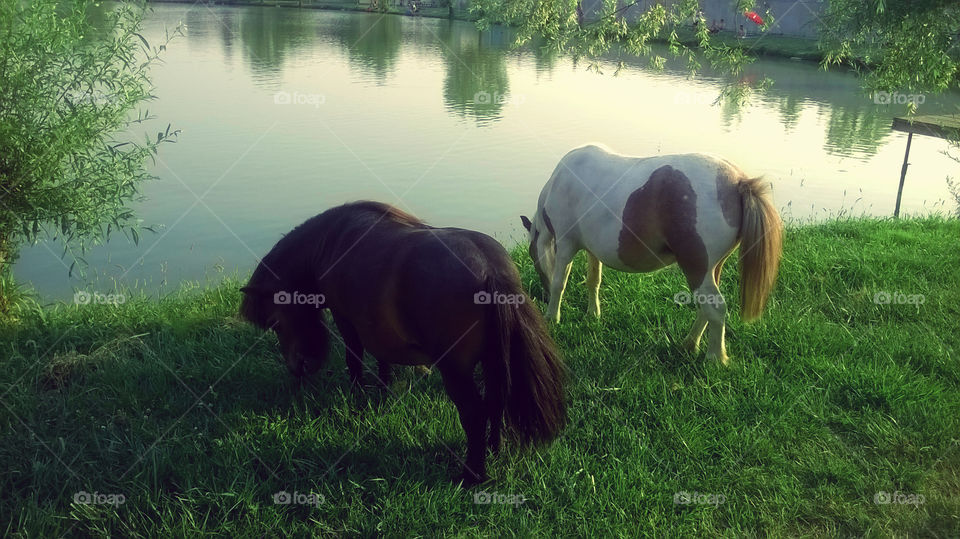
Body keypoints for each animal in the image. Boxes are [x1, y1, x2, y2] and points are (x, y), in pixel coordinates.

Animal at [240, 201, 567, 485]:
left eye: (274, 323)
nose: (299, 367)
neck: (329, 242)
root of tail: (489, 270)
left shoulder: (346, 320)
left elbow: (354, 358)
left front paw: (357, 395)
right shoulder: (375, 327)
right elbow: (382, 357)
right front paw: (383, 390)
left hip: (456, 371)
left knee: (475, 414)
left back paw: (471, 476)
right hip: (494, 359)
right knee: (496, 402)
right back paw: (493, 451)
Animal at [521, 144, 783, 365]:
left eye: (532, 256)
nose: (543, 296)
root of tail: (738, 181)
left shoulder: (566, 244)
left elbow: (560, 283)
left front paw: (552, 317)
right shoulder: (591, 251)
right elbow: (593, 281)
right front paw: (593, 314)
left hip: (697, 268)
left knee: (715, 309)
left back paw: (715, 358)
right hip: (711, 269)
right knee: (705, 309)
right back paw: (689, 344)